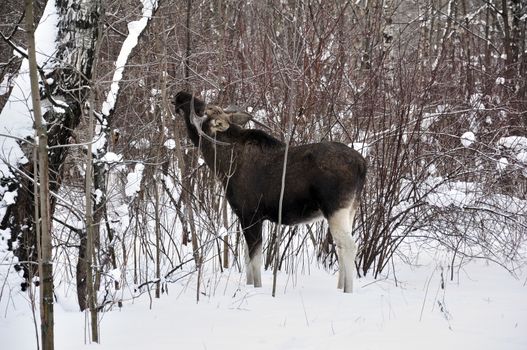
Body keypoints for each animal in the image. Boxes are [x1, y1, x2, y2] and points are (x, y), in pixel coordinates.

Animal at [173, 91, 368, 292]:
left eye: (200, 110)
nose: (181, 95)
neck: (222, 165)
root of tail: (362, 165)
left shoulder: (251, 215)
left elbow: (255, 261)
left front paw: (257, 288)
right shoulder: (247, 219)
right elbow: (247, 257)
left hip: (335, 209)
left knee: (350, 246)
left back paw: (347, 291)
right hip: (350, 210)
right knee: (341, 247)